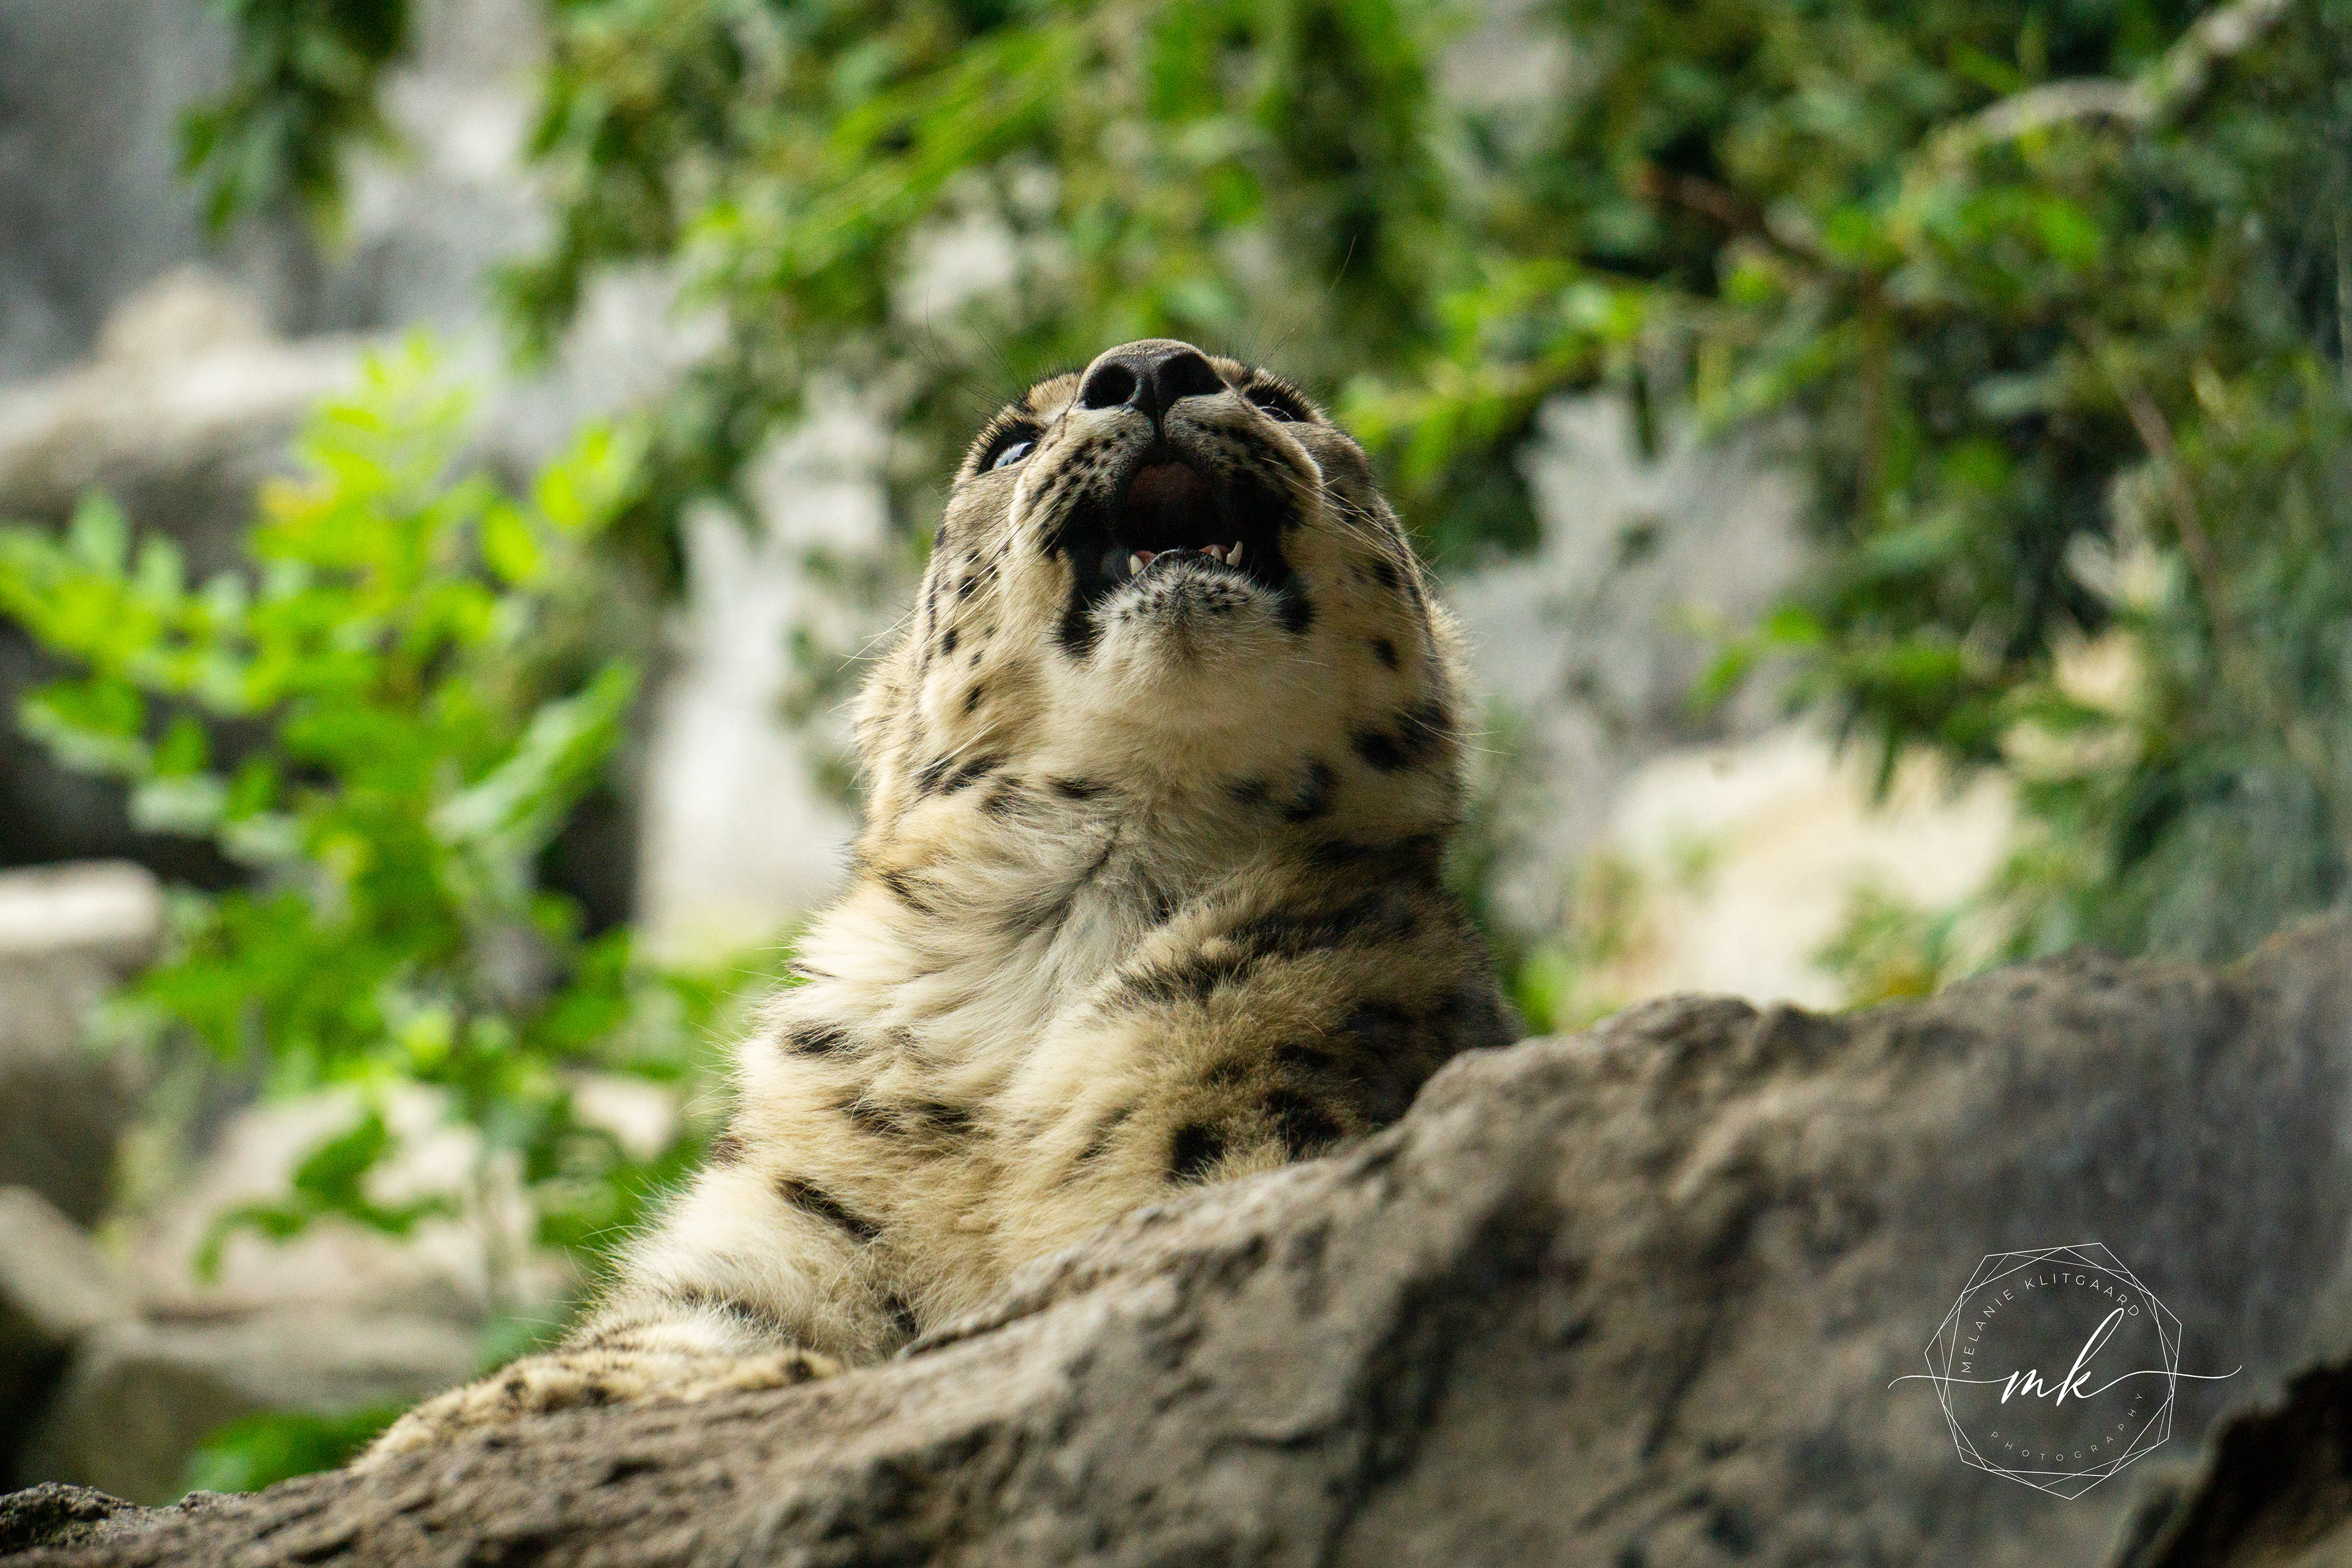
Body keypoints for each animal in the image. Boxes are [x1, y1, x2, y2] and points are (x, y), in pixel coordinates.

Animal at [365, 338, 1515, 1459]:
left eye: (1280, 404)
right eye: (1008, 448)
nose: (1149, 365)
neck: (1073, 923)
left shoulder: (1261, 1141)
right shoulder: (786, 1218)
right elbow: (671, 1326)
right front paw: (489, 1411)